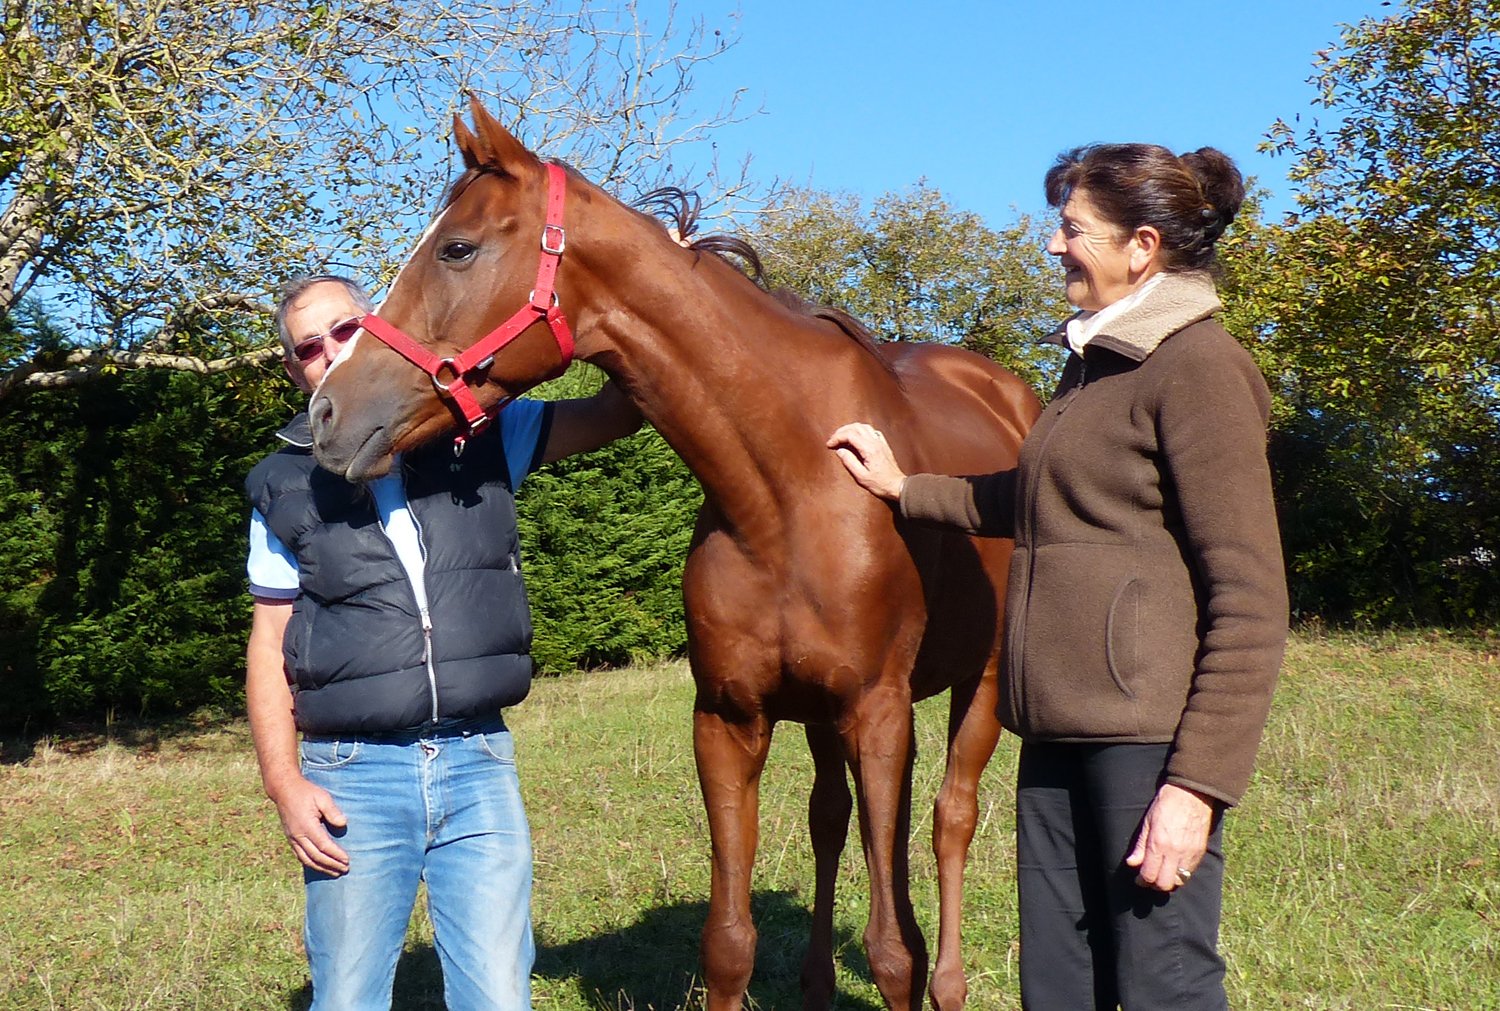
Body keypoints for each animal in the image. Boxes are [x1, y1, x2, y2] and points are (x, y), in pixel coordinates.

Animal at [307, 98, 1041, 1011]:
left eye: (458, 249)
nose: (327, 411)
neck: (790, 489)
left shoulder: (879, 714)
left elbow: (890, 948)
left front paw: (907, 962)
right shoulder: (727, 719)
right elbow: (728, 941)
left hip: (977, 689)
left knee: (950, 819)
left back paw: (951, 981)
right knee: (831, 819)